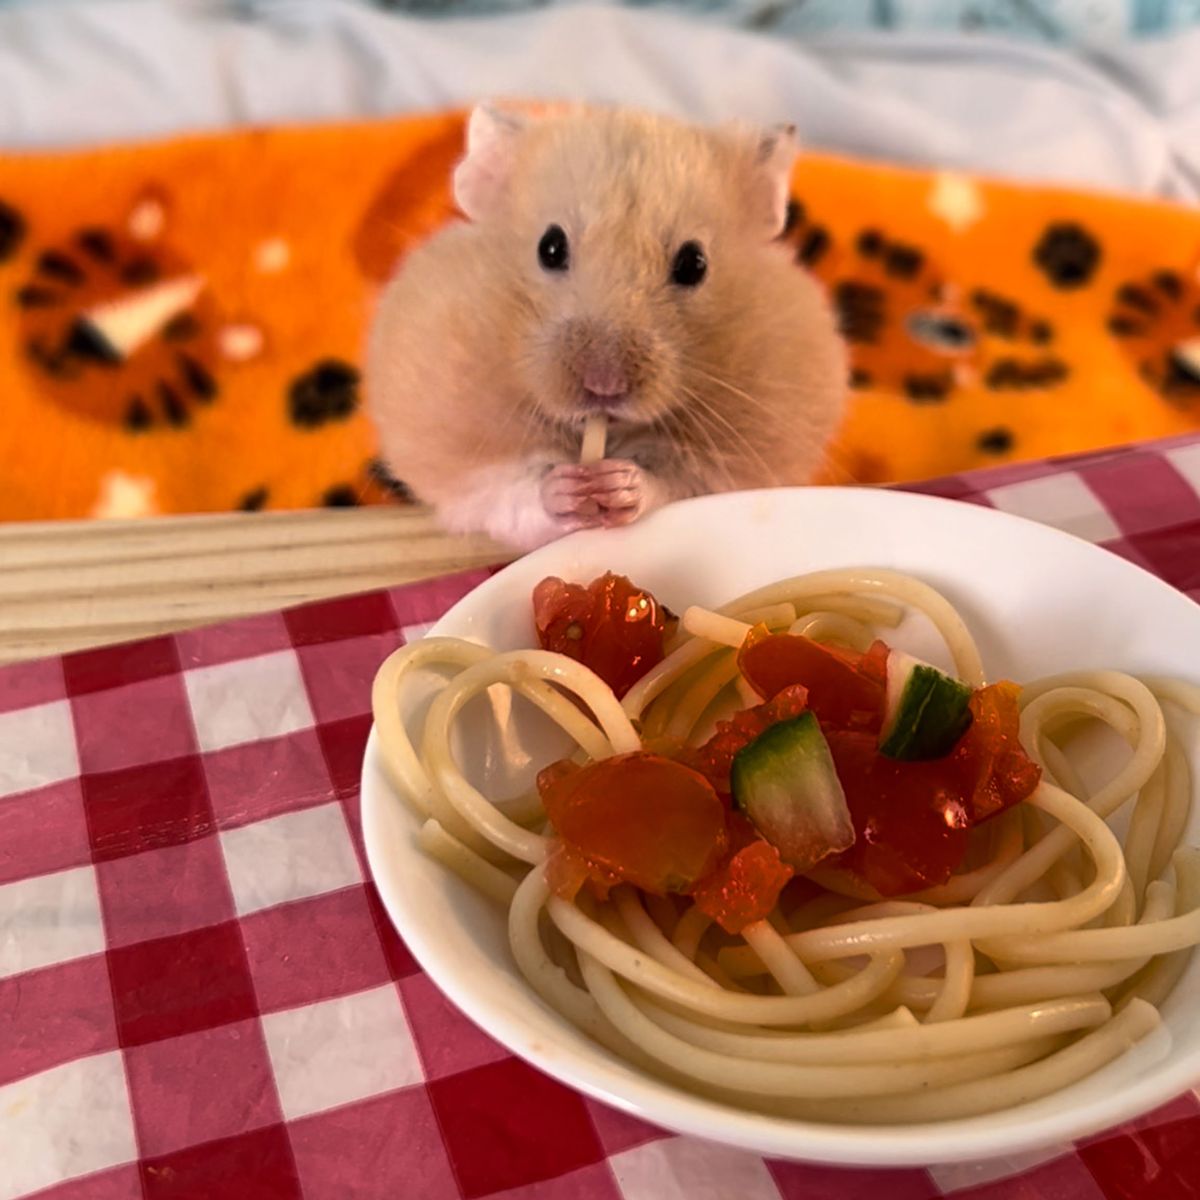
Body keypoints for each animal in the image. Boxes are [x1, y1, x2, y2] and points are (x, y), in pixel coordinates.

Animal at [364, 103, 844, 552]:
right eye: (550, 247)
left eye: (694, 263)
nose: (604, 387)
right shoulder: (467, 463)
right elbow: (514, 490)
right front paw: (570, 488)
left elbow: (670, 482)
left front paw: (618, 485)